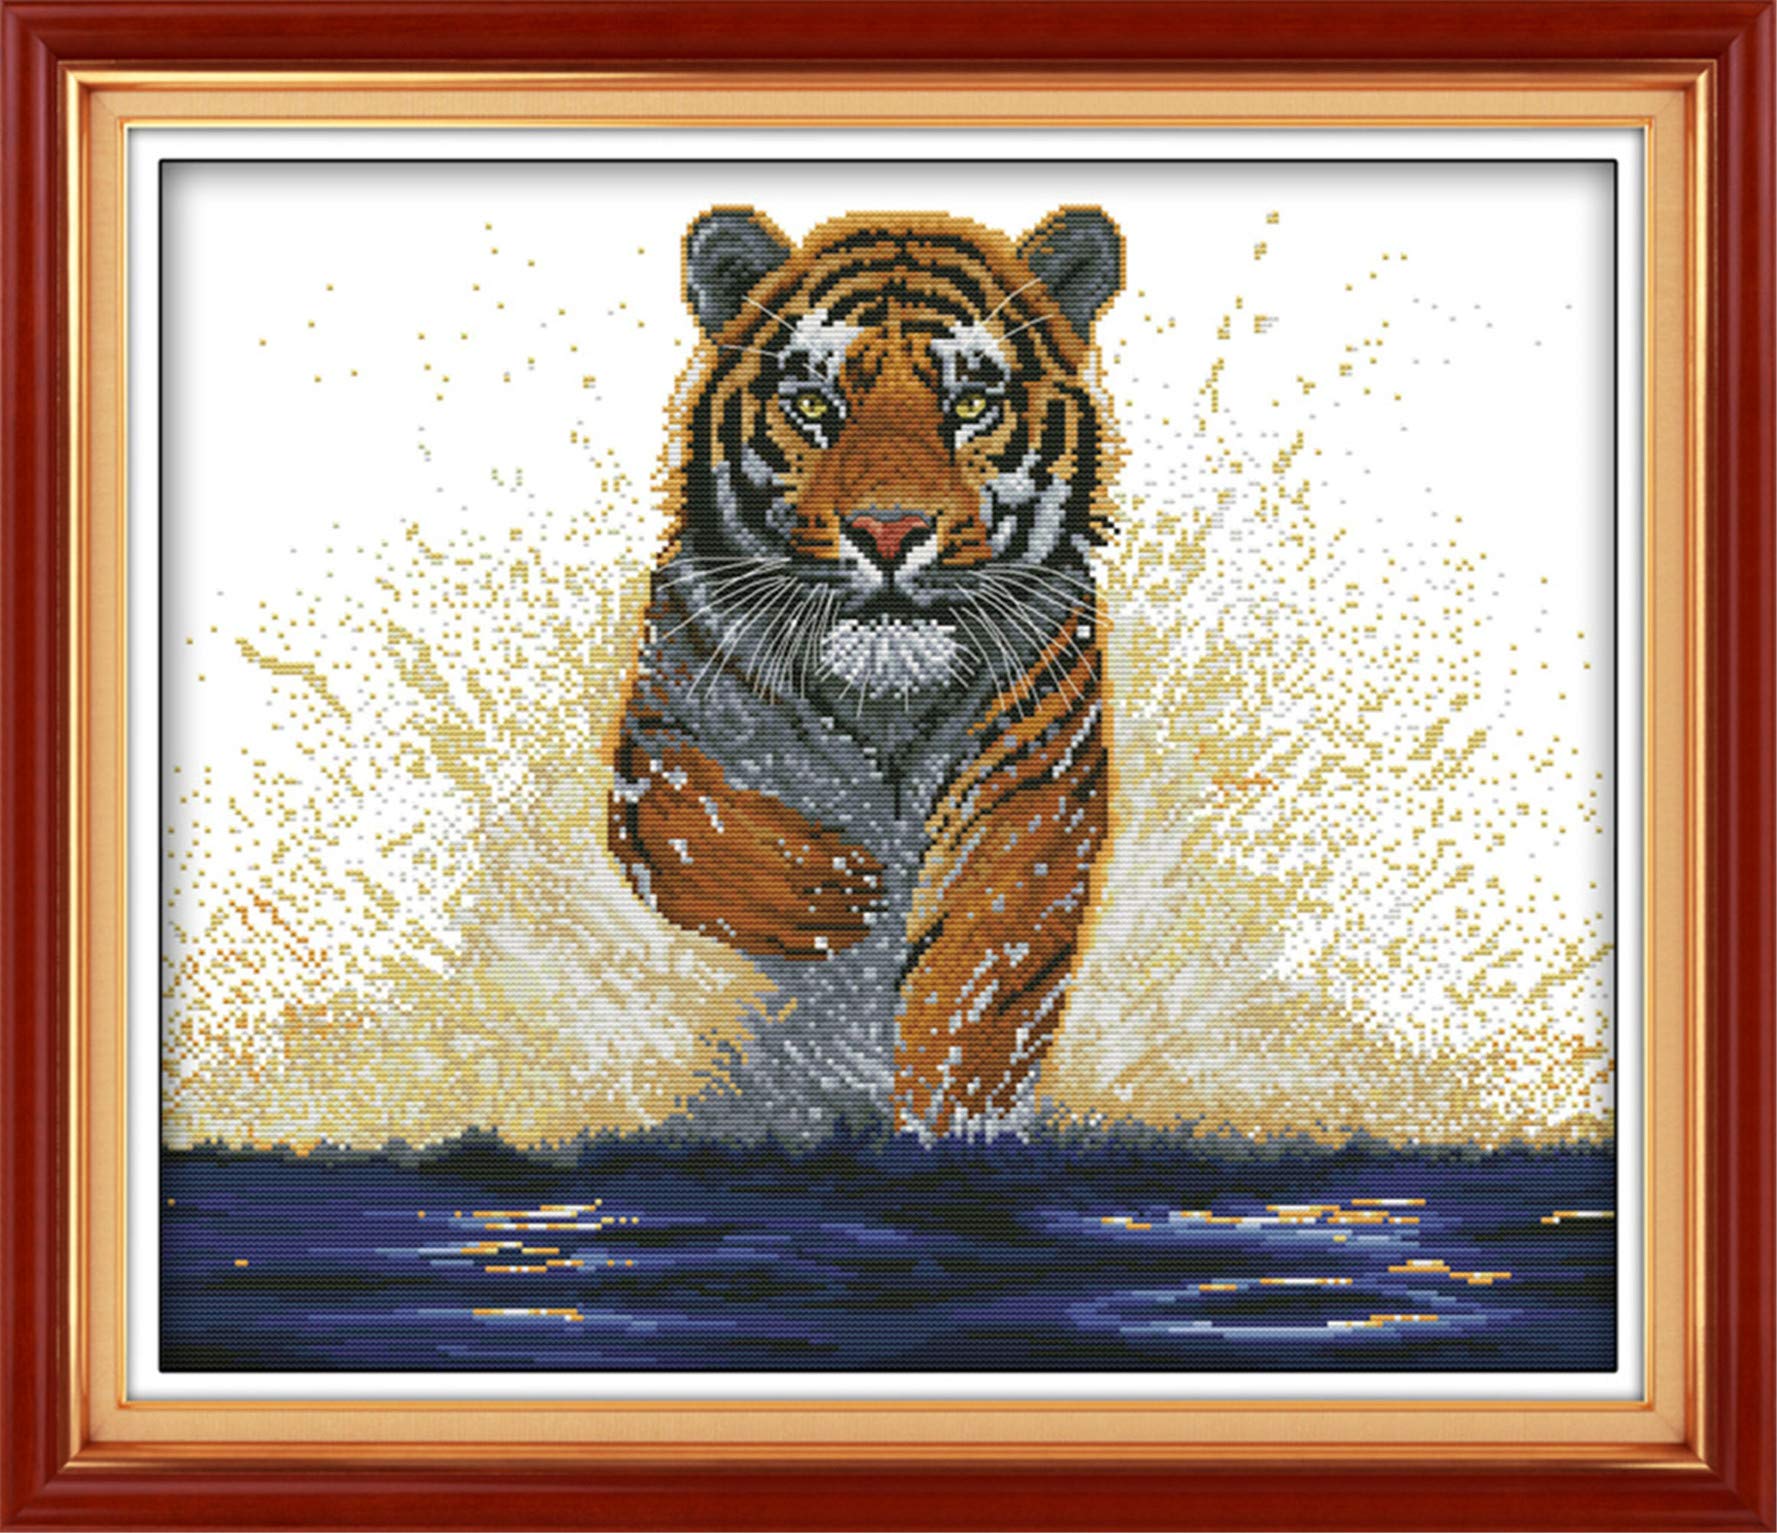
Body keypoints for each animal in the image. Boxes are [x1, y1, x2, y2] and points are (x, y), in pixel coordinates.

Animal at [606, 205, 1123, 1141]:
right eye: (814, 404)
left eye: (970, 404)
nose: (888, 531)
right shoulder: (660, 728)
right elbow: (691, 819)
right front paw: (840, 890)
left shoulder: (1031, 788)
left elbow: (972, 984)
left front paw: (946, 1131)